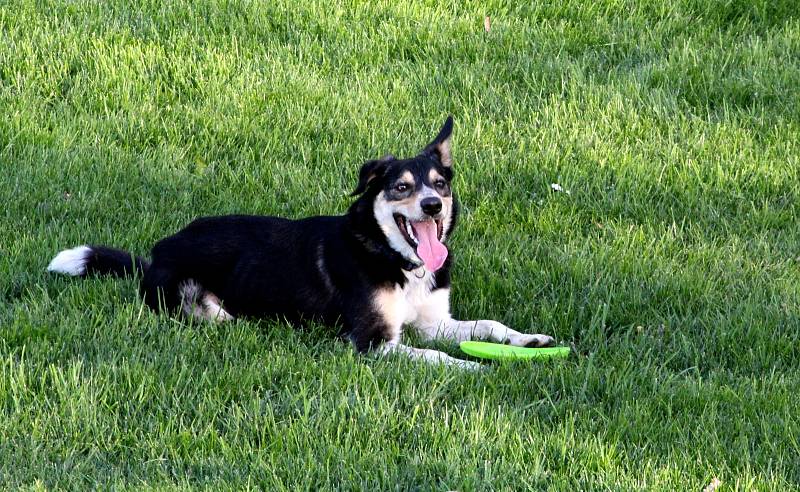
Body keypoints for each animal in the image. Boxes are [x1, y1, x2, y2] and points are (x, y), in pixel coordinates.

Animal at [47, 117, 552, 368]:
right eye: (402, 187)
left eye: (440, 184)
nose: (431, 206)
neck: (396, 260)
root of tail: (155, 253)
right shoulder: (373, 342)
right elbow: (435, 357)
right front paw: (474, 368)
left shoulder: (433, 322)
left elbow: (488, 327)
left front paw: (528, 340)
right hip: (198, 304)